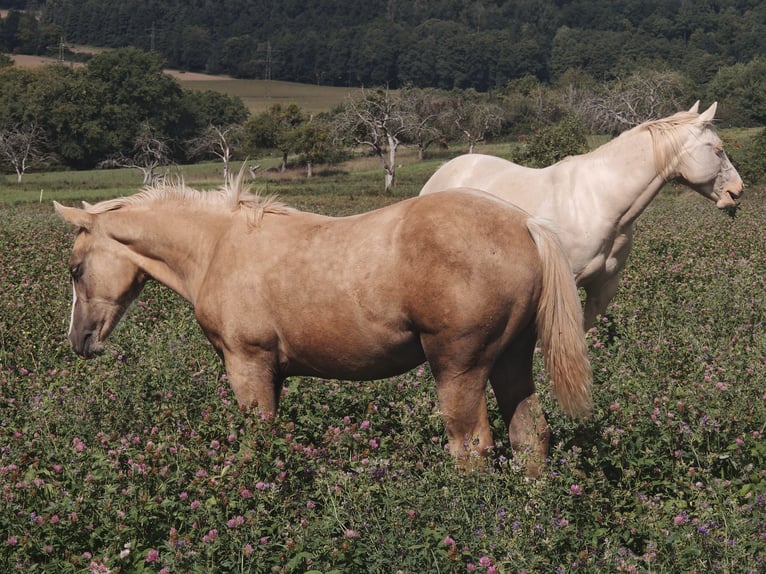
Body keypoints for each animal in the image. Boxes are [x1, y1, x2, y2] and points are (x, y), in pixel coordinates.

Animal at [54, 176, 592, 477]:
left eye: (75, 268)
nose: (79, 341)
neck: (218, 247)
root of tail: (525, 224)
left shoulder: (247, 366)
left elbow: (256, 444)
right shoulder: (273, 373)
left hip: (460, 368)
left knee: (472, 448)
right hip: (510, 361)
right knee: (531, 437)